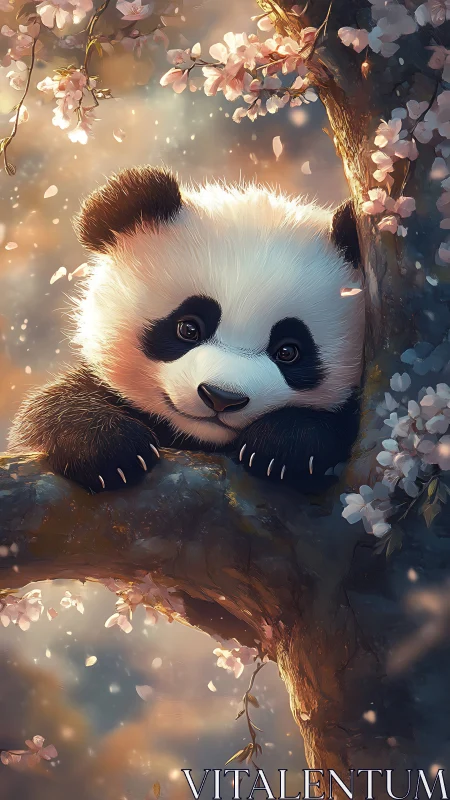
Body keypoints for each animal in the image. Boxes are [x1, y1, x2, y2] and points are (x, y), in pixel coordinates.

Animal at [8, 166, 365, 494]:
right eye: (189, 328)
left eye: (288, 351)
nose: (222, 397)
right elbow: (49, 408)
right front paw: (110, 450)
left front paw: (282, 447)